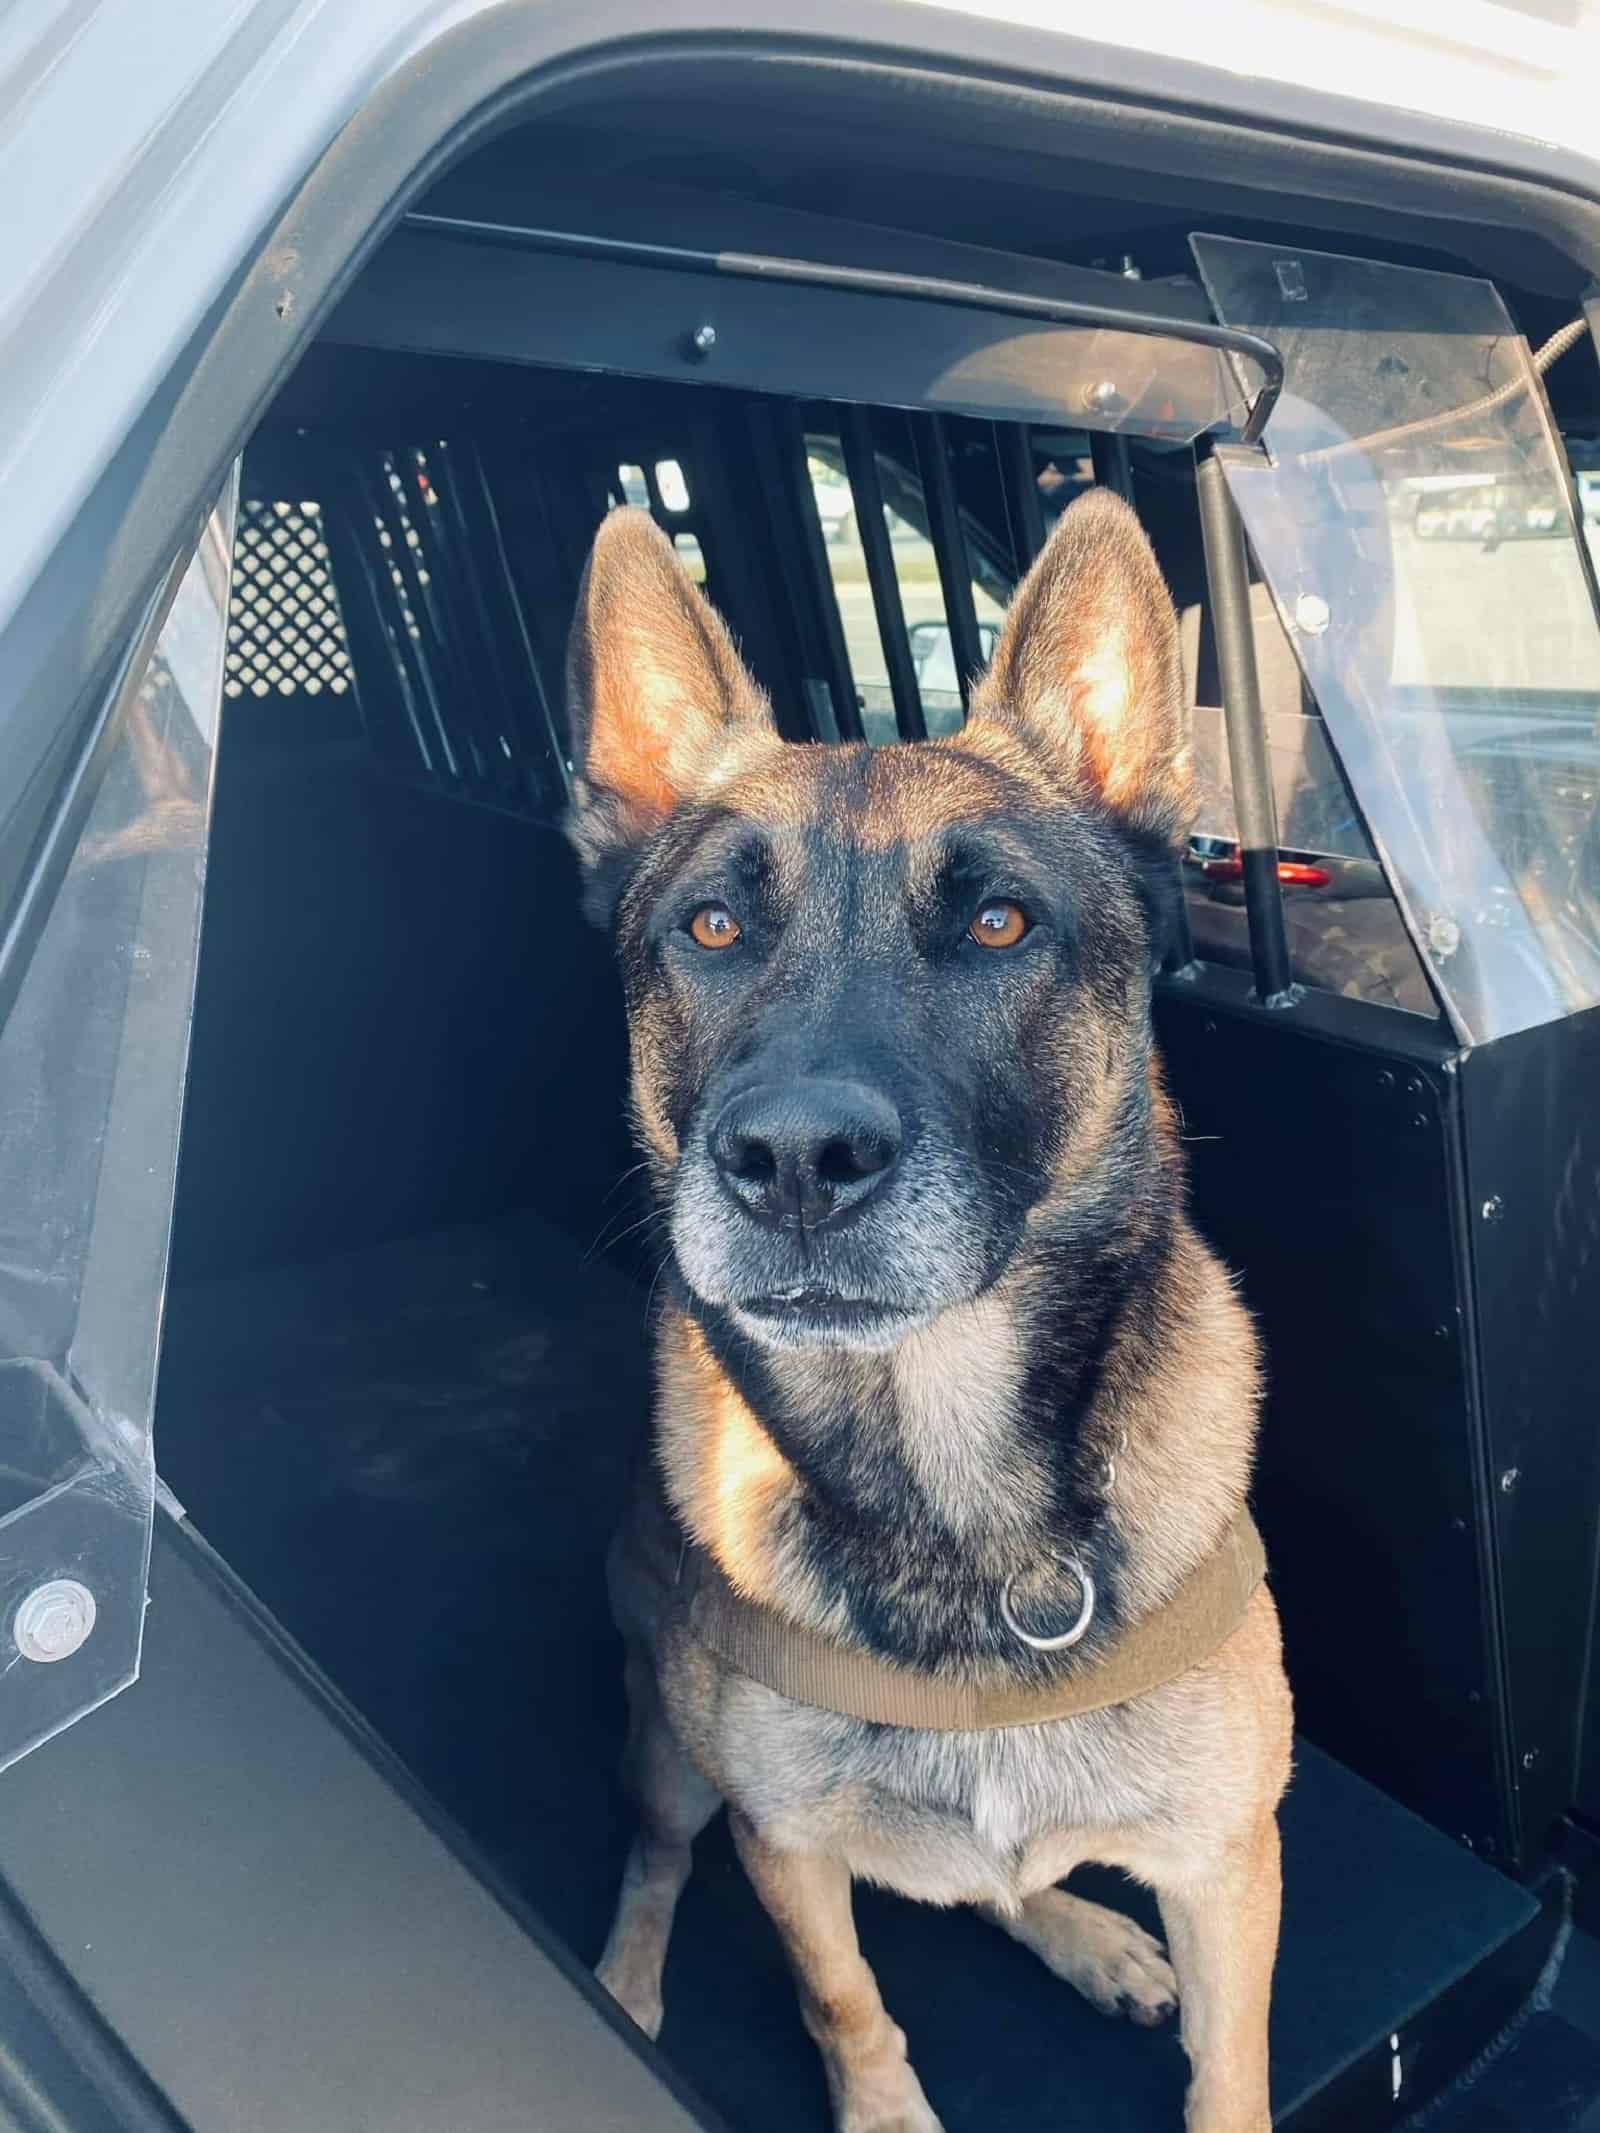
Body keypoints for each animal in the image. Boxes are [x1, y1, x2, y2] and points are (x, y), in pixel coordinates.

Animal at [571, 490, 1297, 2124]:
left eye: (1002, 925)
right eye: (709, 930)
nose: (792, 1163)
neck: (957, 1488)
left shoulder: (1229, 1863)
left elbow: (1226, 2073)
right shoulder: (784, 1845)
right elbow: (848, 2005)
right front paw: (881, 2100)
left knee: (1001, 1879)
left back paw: (1087, 1935)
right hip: (669, 1760)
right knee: (653, 1849)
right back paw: (621, 1986)